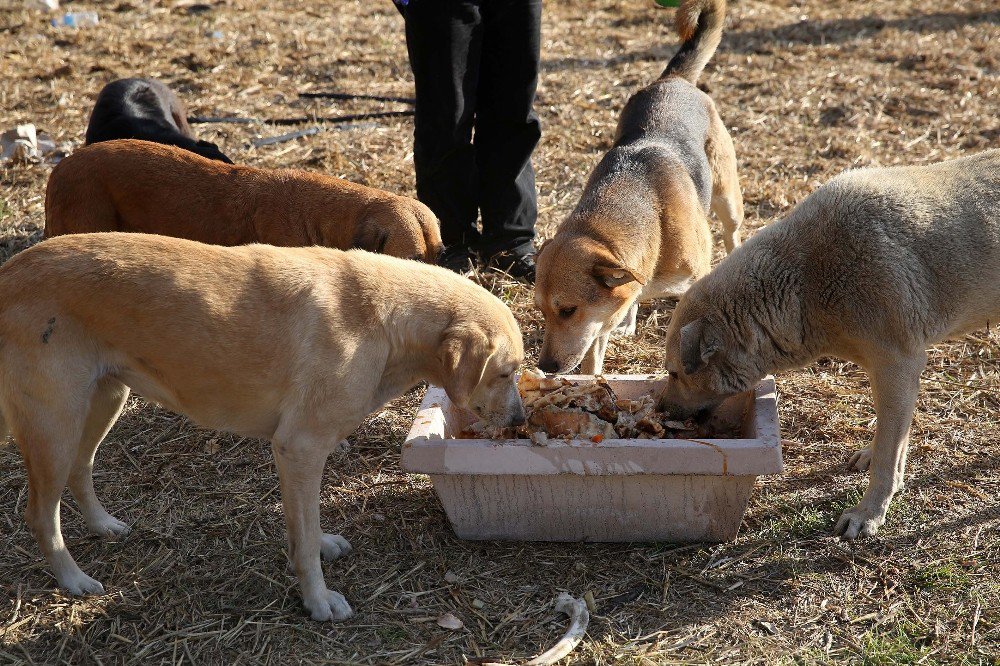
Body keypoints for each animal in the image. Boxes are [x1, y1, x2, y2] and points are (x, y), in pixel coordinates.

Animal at [0, 232, 528, 616]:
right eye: (506, 372)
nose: (522, 423)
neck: (383, 319)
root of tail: (10, 271)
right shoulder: (299, 447)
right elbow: (305, 540)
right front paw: (318, 601)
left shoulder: (299, 458)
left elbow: (304, 528)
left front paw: (320, 546)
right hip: (55, 425)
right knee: (40, 515)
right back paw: (74, 579)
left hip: (104, 400)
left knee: (81, 471)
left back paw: (104, 525)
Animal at [540, 0, 744, 374]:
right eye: (541, 310)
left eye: (568, 310)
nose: (546, 366)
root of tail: (673, 79)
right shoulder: (603, 315)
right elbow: (595, 349)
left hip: (727, 198)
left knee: (731, 233)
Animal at [656, 150, 1000, 540]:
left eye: (674, 373)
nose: (660, 410)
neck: (804, 285)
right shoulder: (889, 371)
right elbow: (892, 436)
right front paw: (878, 462)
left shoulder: (899, 365)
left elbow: (888, 454)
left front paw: (869, 513)